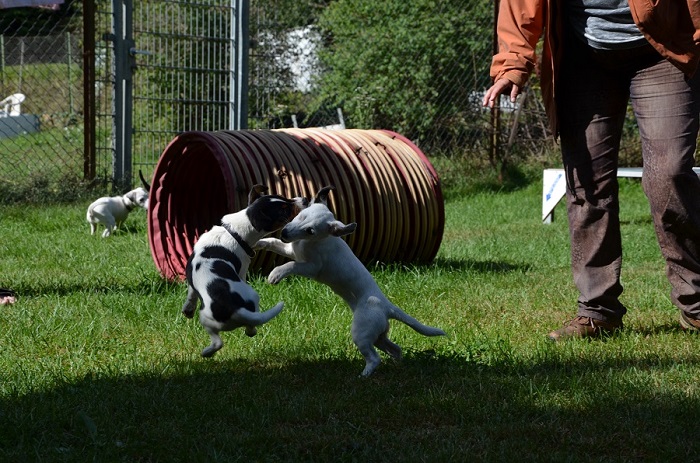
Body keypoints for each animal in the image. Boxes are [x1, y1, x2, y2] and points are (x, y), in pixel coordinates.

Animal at [182, 184, 308, 357]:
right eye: (285, 209)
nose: (305, 199)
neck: (233, 231)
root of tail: (235, 308)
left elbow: (191, 292)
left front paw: (187, 310)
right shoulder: (241, 271)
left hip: (206, 318)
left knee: (219, 341)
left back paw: (206, 352)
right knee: (248, 327)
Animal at [256, 186, 446, 377]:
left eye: (311, 231)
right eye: (301, 216)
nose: (284, 232)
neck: (312, 242)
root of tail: (387, 306)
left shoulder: (312, 267)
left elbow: (291, 265)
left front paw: (275, 274)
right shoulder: (291, 249)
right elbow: (274, 242)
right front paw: (259, 242)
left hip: (361, 333)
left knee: (375, 357)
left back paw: (364, 374)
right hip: (377, 335)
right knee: (395, 349)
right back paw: (397, 366)